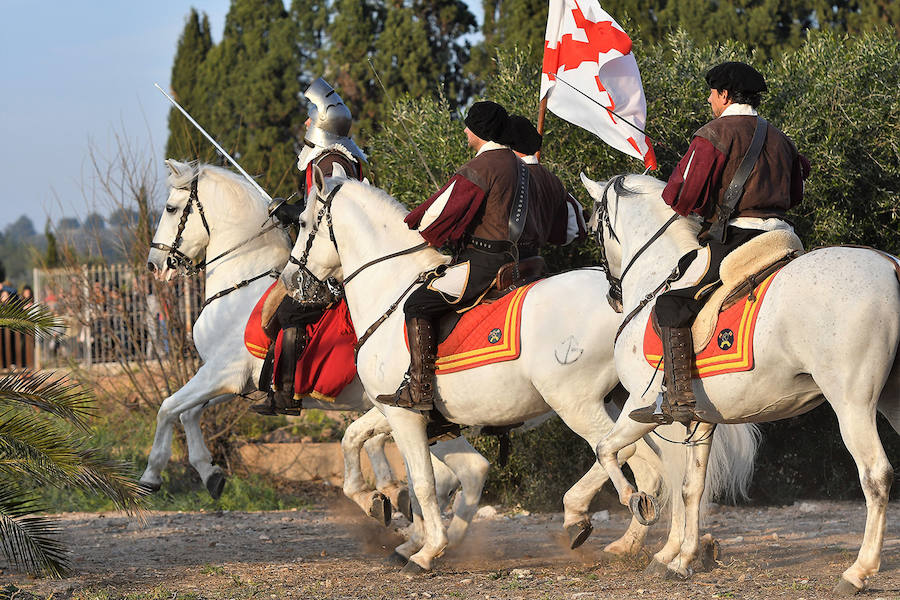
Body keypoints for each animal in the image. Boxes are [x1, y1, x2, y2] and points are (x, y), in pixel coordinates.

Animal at [282, 171, 760, 576]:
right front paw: (374, 502)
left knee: (635, 463)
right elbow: (353, 440)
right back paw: (642, 545)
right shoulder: (393, 409)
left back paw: (596, 522)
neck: (393, 290)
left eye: (304, 222)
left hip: (578, 405)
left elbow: (422, 481)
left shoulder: (404, 414)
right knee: (654, 467)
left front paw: (425, 548)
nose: (290, 280)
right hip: (627, 406)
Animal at [584, 173, 900, 596]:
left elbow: (608, 451)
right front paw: (680, 559)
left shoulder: (645, 408)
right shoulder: (700, 420)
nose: (613, 297)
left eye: (593, 227)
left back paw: (858, 571)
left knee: (875, 475)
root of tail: (890, 266)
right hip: (891, 401)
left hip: (853, 405)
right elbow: (691, 487)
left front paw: (639, 505)